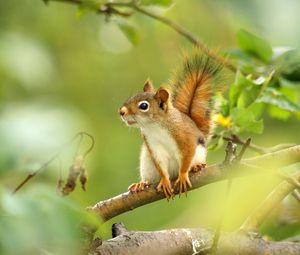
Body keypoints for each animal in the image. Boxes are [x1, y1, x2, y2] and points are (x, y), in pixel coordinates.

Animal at [118, 49, 221, 197]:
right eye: (132, 96)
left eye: (143, 106)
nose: (121, 111)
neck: (155, 126)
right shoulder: (153, 145)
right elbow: (161, 165)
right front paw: (165, 181)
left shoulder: (185, 137)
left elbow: (187, 154)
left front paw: (183, 175)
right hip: (147, 164)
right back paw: (142, 184)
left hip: (199, 153)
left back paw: (196, 166)